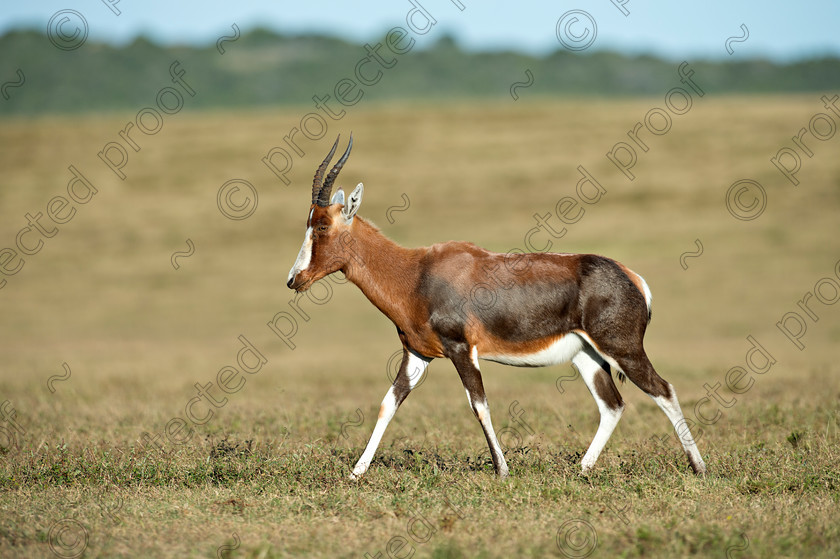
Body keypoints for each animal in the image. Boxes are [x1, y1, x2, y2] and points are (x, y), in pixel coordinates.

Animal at [286, 137, 704, 482]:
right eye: (308, 222)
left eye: (321, 226)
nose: (294, 279)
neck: (418, 272)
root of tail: (632, 277)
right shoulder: (418, 355)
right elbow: (388, 404)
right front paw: (356, 473)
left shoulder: (461, 350)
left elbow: (479, 405)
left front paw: (502, 470)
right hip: (587, 356)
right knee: (612, 405)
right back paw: (582, 469)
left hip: (623, 349)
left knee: (663, 390)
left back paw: (698, 467)